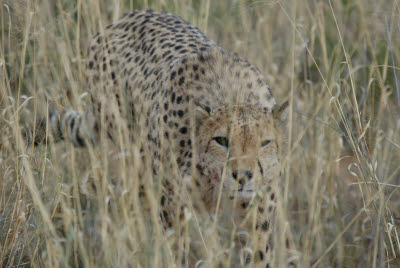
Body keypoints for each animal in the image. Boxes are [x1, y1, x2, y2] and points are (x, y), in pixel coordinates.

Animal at [29, 9, 290, 266]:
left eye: (264, 143)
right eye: (222, 141)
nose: (243, 176)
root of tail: (123, 18)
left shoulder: (257, 210)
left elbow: (259, 252)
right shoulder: (172, 201)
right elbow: (176, 249)